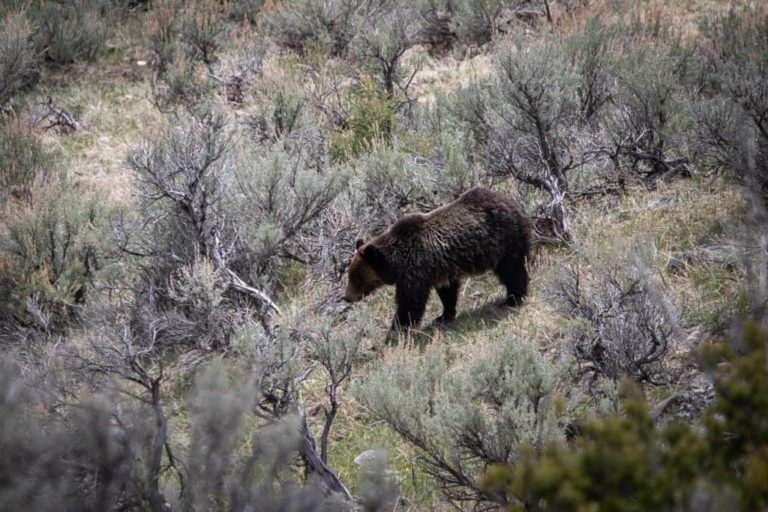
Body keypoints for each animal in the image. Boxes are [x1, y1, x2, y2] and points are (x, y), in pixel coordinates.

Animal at [344, 188, 532, 332]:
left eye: (356, 277)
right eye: (351, 276)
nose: (347, 297)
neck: (396, 263)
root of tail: (513, 202)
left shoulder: (415, 272)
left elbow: (410, 303)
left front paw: (396, 330)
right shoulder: (440, 270)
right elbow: (447, 293)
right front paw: (443, 316)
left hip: (506, 240)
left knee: (512, 270)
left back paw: (513, 298)